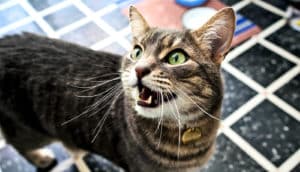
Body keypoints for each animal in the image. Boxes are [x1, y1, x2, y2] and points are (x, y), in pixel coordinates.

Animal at [0, 6, 234, 172]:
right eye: (137, 52)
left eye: (176, 57)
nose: (139, 69)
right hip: (30, 129)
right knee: (17, 144)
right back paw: (41, 158)